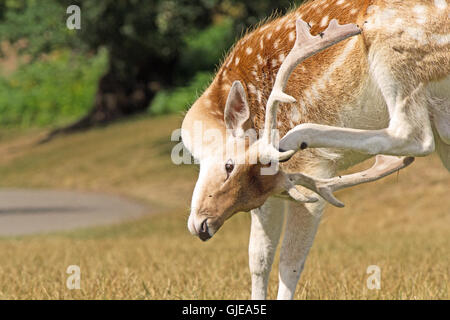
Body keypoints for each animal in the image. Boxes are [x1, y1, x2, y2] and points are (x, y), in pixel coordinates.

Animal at [178, 0, 446, 300]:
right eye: (251, 202)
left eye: (229, 165)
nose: (203, 226)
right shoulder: (271, 197)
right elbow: (258, 259)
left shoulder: (310, 172)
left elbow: (290, 262)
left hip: (392, 51)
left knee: (413, 132)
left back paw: (296, 137)